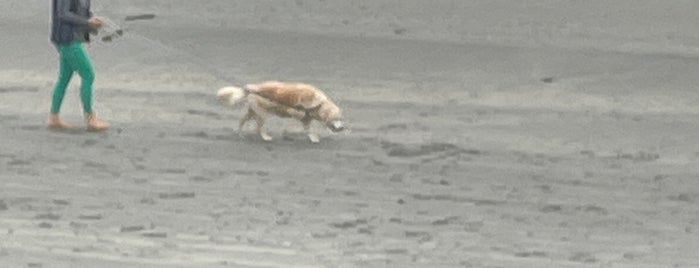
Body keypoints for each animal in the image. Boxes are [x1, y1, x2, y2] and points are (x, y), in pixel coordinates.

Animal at [215, 80, 344, 142]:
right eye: (336, 118)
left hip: (252, 112)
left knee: (244, 121)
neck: (319, 104)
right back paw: (265, 137)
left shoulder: (306, 119)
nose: (342, 127)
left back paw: (241, 133)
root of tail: (249, 92)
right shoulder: (297, 106)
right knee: (260, 127)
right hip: (262, 114)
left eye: (340, 119)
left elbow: (308, 128)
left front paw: (313, 138)